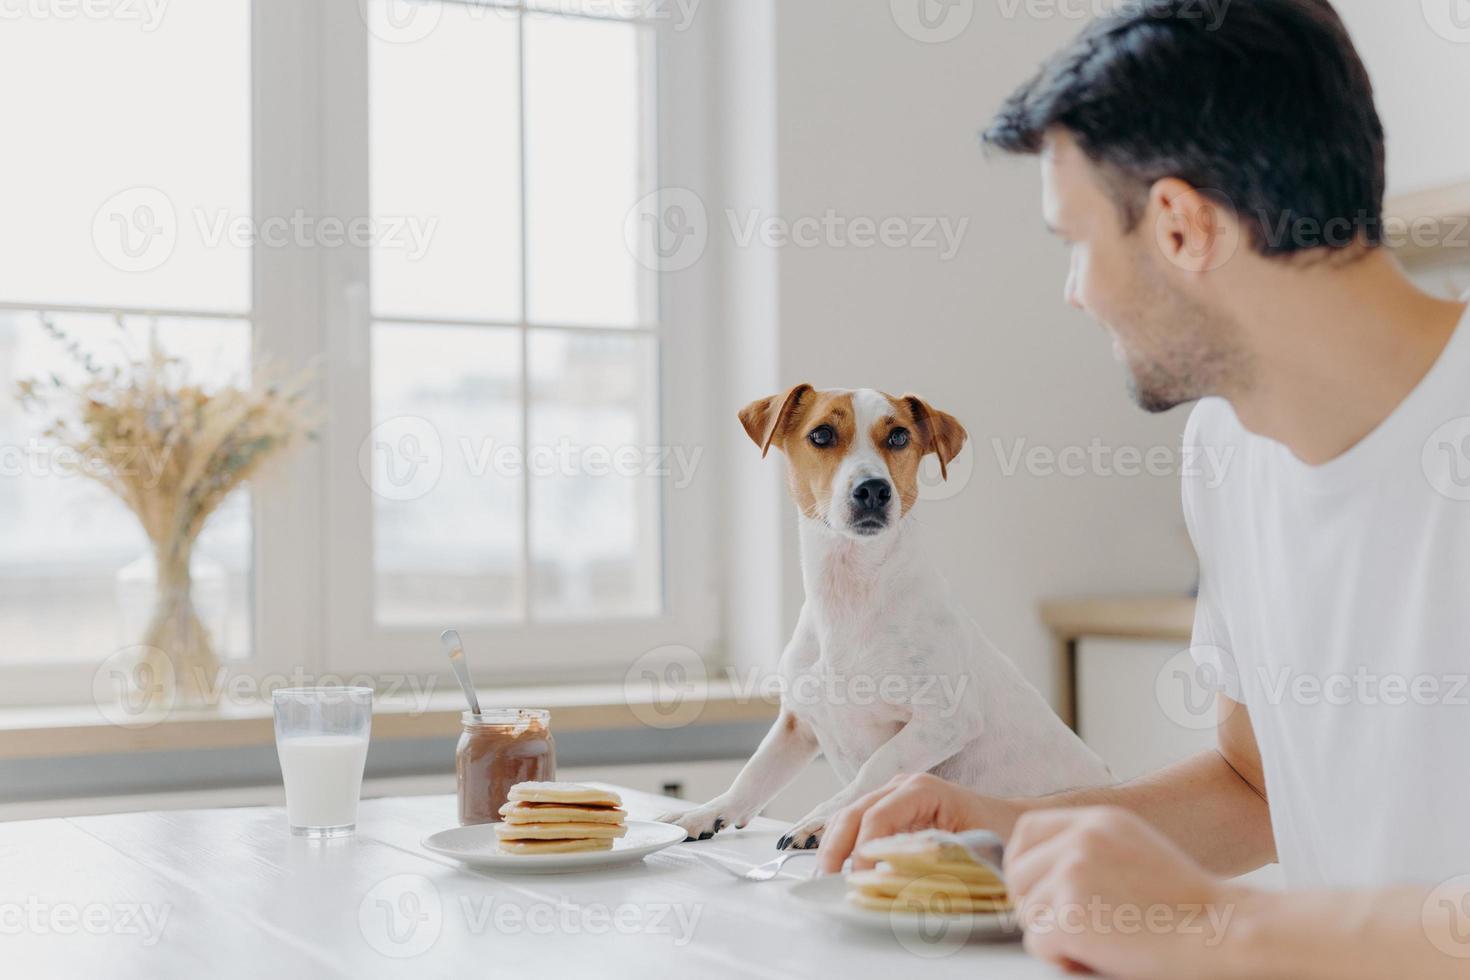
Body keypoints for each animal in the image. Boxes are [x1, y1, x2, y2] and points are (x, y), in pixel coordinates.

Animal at [661, 387, 1105, 846]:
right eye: (821, 434)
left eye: (898, 437)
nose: (873, 489)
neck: (849, 596)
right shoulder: (797, 724)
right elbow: (752, 775)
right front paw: (705, 813)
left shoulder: (946, 721)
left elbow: (878, 767)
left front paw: (821, 819)